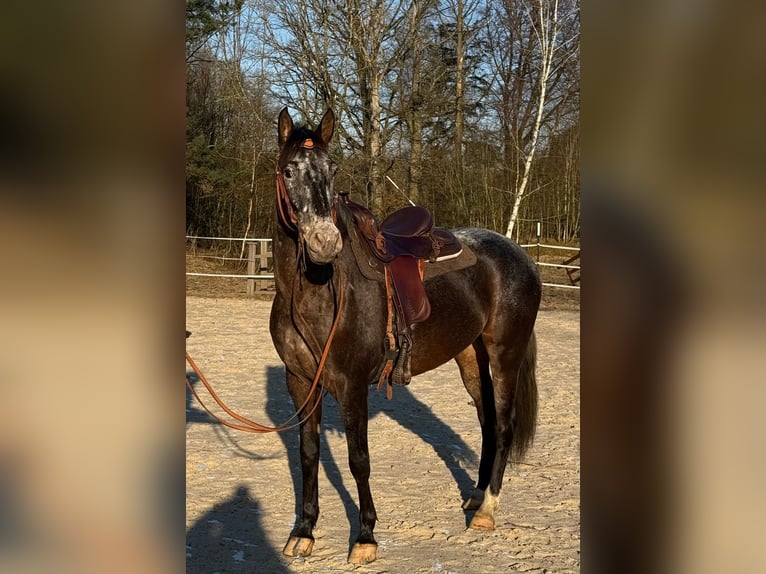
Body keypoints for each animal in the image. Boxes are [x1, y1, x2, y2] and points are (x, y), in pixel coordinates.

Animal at [270, 108, 544, 568]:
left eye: (332, 169)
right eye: (288, 170)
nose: (325, 242)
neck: (315, 292)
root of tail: (521, 254)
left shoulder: (351, 385)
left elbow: (358, 460)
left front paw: (365, 538)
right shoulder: (301, 381)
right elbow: (308, 455)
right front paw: (303, 532)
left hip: (505, 354)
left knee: (504, 425)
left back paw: (487, 512)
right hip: (471, 359)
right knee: (487, 422)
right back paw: (475, 497)